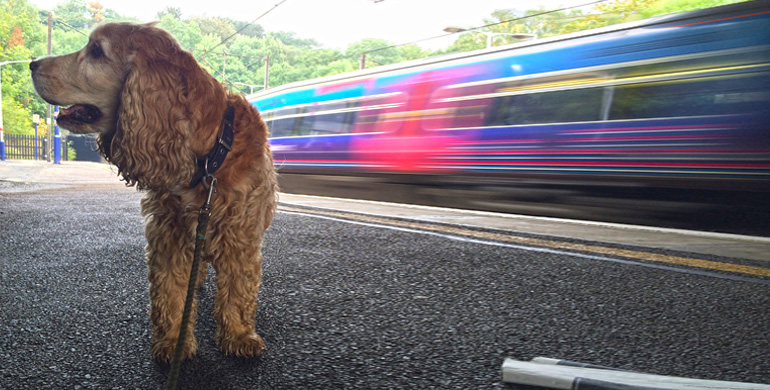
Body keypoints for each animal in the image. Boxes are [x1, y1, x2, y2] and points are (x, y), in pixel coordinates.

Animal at [33, 22, 280, 362]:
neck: (208, 157)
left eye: (96, 50)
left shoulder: (240, 233)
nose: (32, 64)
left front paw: (239, 335)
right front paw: (173, 342)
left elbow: (238, 289)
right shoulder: (168, 232)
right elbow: (169, 291)